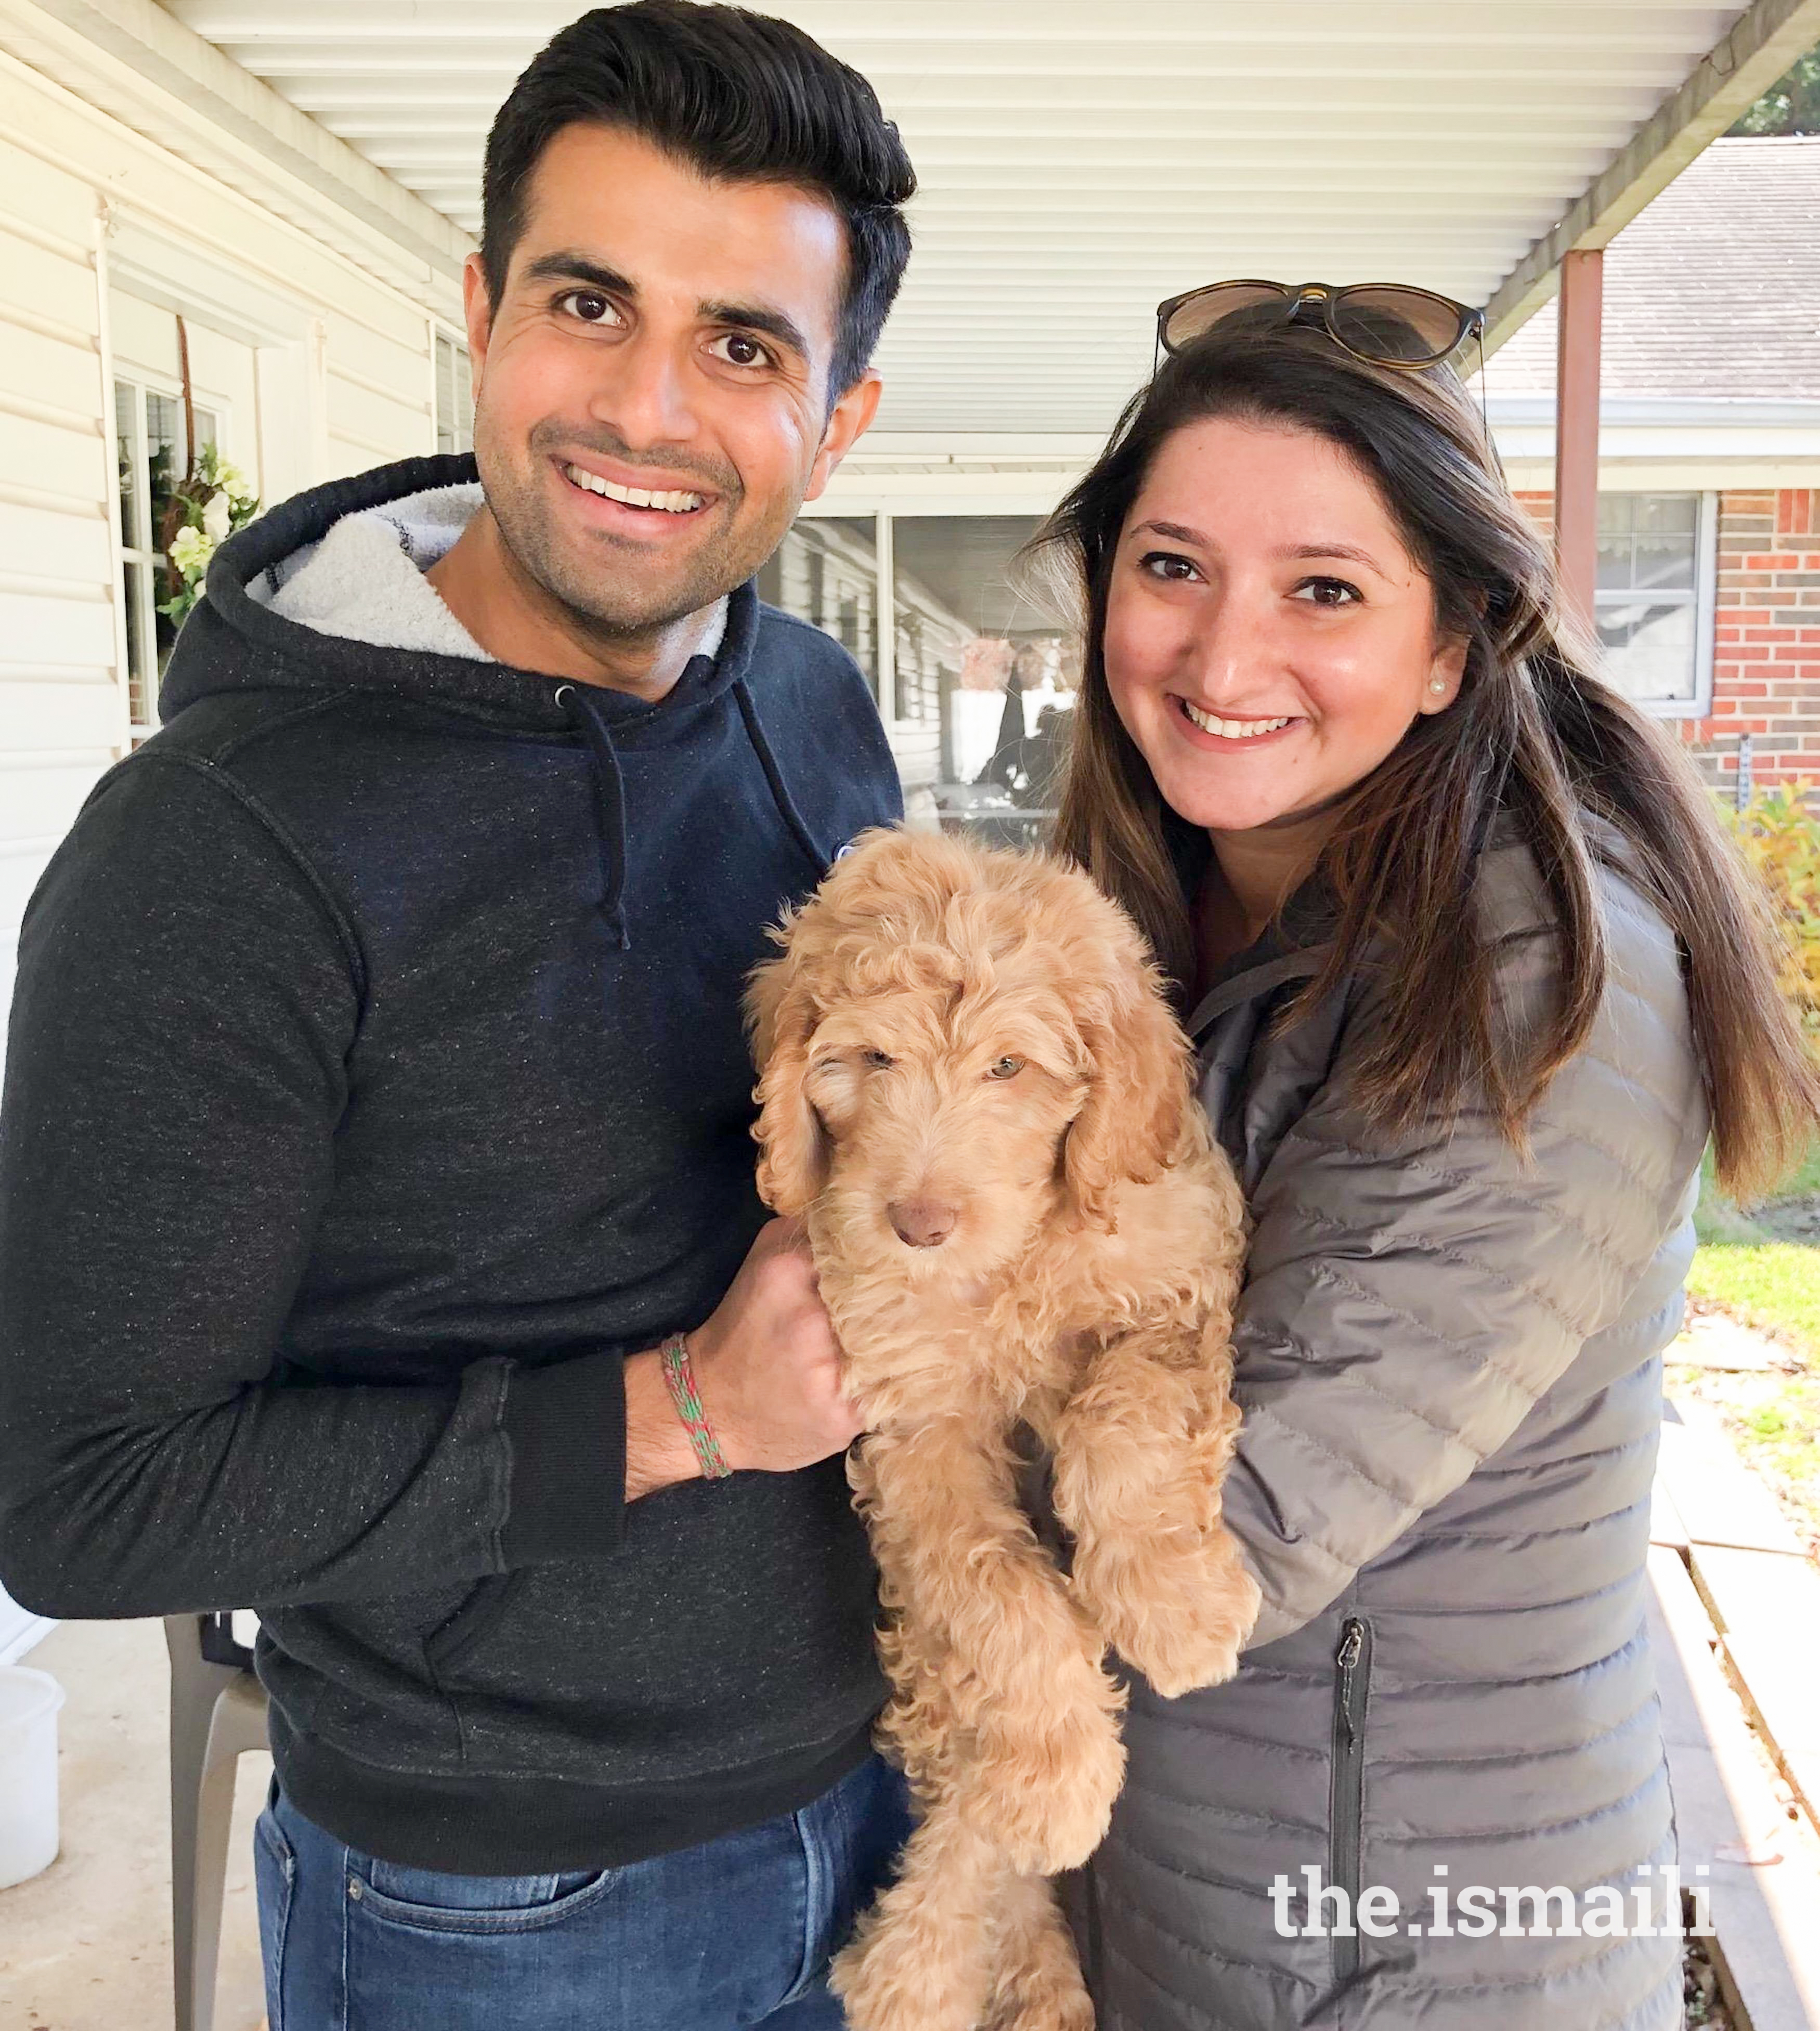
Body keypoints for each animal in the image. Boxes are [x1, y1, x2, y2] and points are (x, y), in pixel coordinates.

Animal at [747, 824, 1259, 2031]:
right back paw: (920, 1965)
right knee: (967, 1791)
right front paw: (1061, 1777)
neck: (1014, 1265)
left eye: (1009, 1069)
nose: (918, 1225)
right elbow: (1004, 1601)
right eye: (869, 1059)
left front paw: (1176, 1608)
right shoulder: (913, 1421)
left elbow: (1119, 1433)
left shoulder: (1176, 1282)